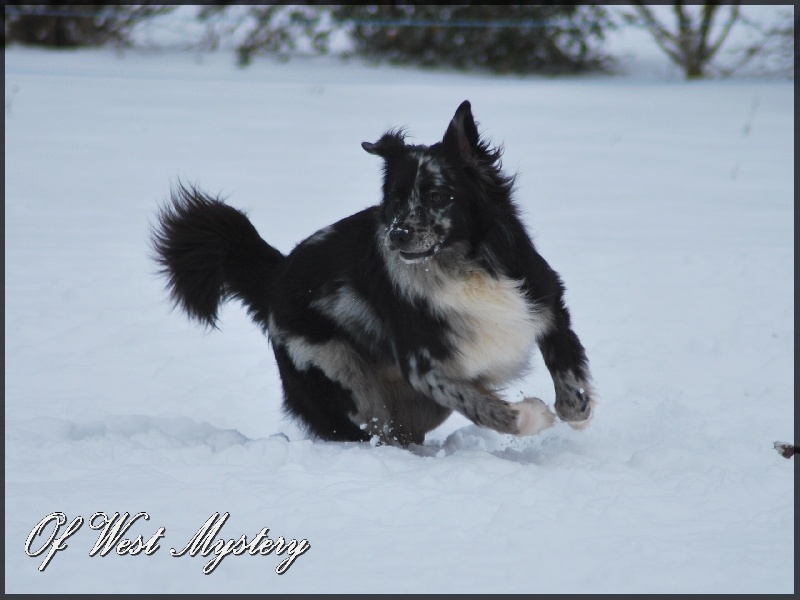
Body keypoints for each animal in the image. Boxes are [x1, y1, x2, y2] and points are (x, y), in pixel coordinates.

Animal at [153, 101, 592, 446]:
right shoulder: (422, 364)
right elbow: (482, 405)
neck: (463, 268)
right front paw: (531, 416)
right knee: (369, 430)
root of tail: (276, 274)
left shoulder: (541, 299)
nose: (397, 235)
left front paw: (576, 411)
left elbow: (568, 374)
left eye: (439, 195)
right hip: (341, 376)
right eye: (394, 199)